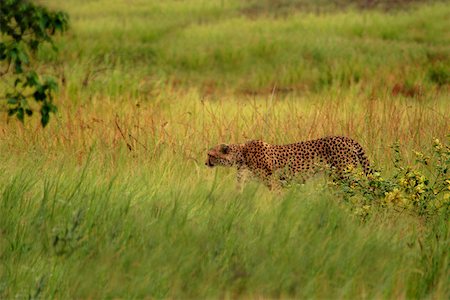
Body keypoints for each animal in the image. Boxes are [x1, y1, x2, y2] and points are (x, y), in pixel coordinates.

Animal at [206, 137, 370, 190]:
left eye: (210, 155)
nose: (205, 163)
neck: (241, 154)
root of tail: (348, 138)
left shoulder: (273, 182)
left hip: (344, 176)